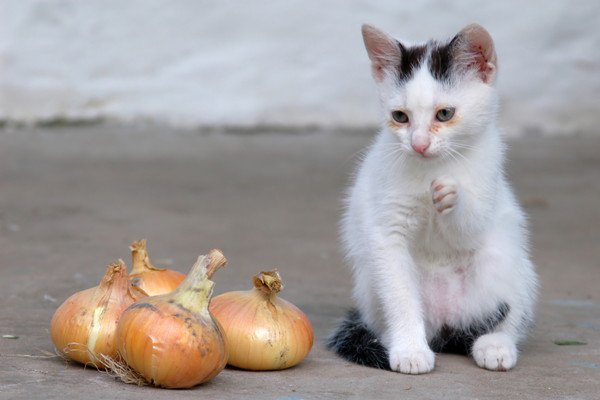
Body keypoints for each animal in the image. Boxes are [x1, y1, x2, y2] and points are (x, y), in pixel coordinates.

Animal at [328, 23, 540, 374]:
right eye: (400, 116)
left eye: (444, 113)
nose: (419, 143)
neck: (432, 167)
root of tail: (446, 323)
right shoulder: (386, 233)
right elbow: (399, 295)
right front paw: (410, 350)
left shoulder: (487, 185)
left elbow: (469, 227)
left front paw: (453, 194)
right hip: (370, 280)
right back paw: (393, 340)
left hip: (507, 262)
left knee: (505, 309)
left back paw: (496, 345)